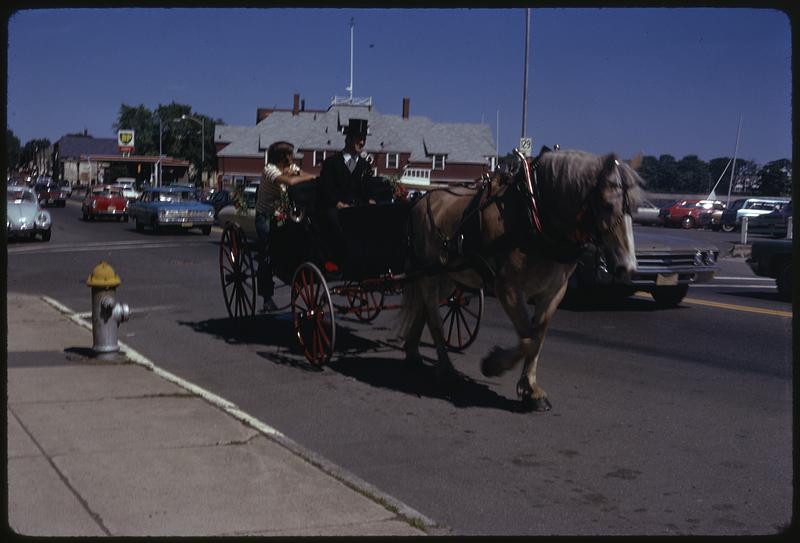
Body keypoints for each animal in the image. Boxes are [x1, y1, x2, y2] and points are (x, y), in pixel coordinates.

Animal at [396, 147, 648, 410]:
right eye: (607, 205)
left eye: (635, 207)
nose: (628, 267)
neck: (536, 215)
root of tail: (420, 200)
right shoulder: (507, 287)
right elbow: (528, 338)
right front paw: (493, 364)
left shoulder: (555, 290)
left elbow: (538, 337)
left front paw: (531, 389)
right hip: (428, 274)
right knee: (434, 318)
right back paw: (445, 369)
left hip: (447, 277)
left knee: (425, 309)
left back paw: (413, 353)